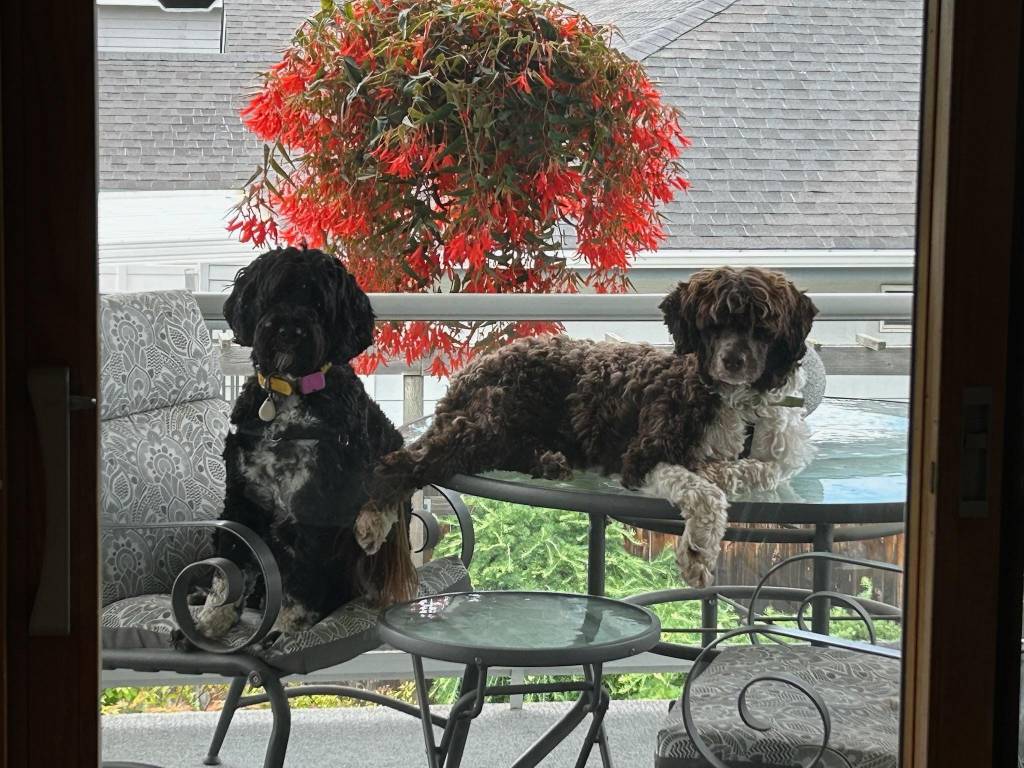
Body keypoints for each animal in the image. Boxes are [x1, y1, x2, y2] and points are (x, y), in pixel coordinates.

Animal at [192, 246, 416, 643]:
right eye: (274, 294)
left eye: (319, 304)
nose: (288, 330)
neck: (289, 394)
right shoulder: (242, 498)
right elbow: (230, 563)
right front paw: (213, 617)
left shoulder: (315, 506)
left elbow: (303, 577)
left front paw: (287, 627)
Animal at [358, 267, 817, 588]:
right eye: (713, 324)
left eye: (763, 326)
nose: (733, 360)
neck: (739, 405)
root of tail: (476, 366)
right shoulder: (640, 458)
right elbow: (705, 492)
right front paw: (698, 551)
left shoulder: (780, 455)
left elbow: (759, 470)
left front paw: (722, 472)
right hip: (490, 424)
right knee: (406, 460)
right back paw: (373, 518)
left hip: (501, 432)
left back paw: (549, 462)